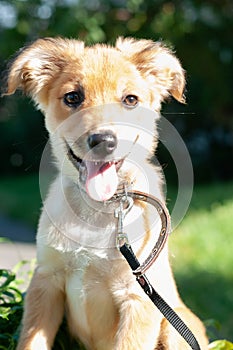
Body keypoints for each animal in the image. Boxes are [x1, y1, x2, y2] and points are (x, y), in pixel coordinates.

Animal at [4, 37, 208, 348]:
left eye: (130, 100)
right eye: (73, 97)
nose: (103, 141)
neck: (98, 208)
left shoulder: (139, 296)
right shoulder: (46, 280)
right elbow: (32, 341)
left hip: (176, 328)